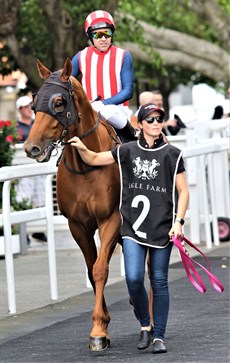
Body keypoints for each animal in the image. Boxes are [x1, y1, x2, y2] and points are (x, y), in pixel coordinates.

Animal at [23, 58, 122, 352]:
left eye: (58, 102)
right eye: (34, 103)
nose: (31, 147)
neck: (86, 165)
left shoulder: (111, 219)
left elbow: (101, 269)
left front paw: (98, 330)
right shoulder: (78, 225)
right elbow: (92, 270)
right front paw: (102, 325)